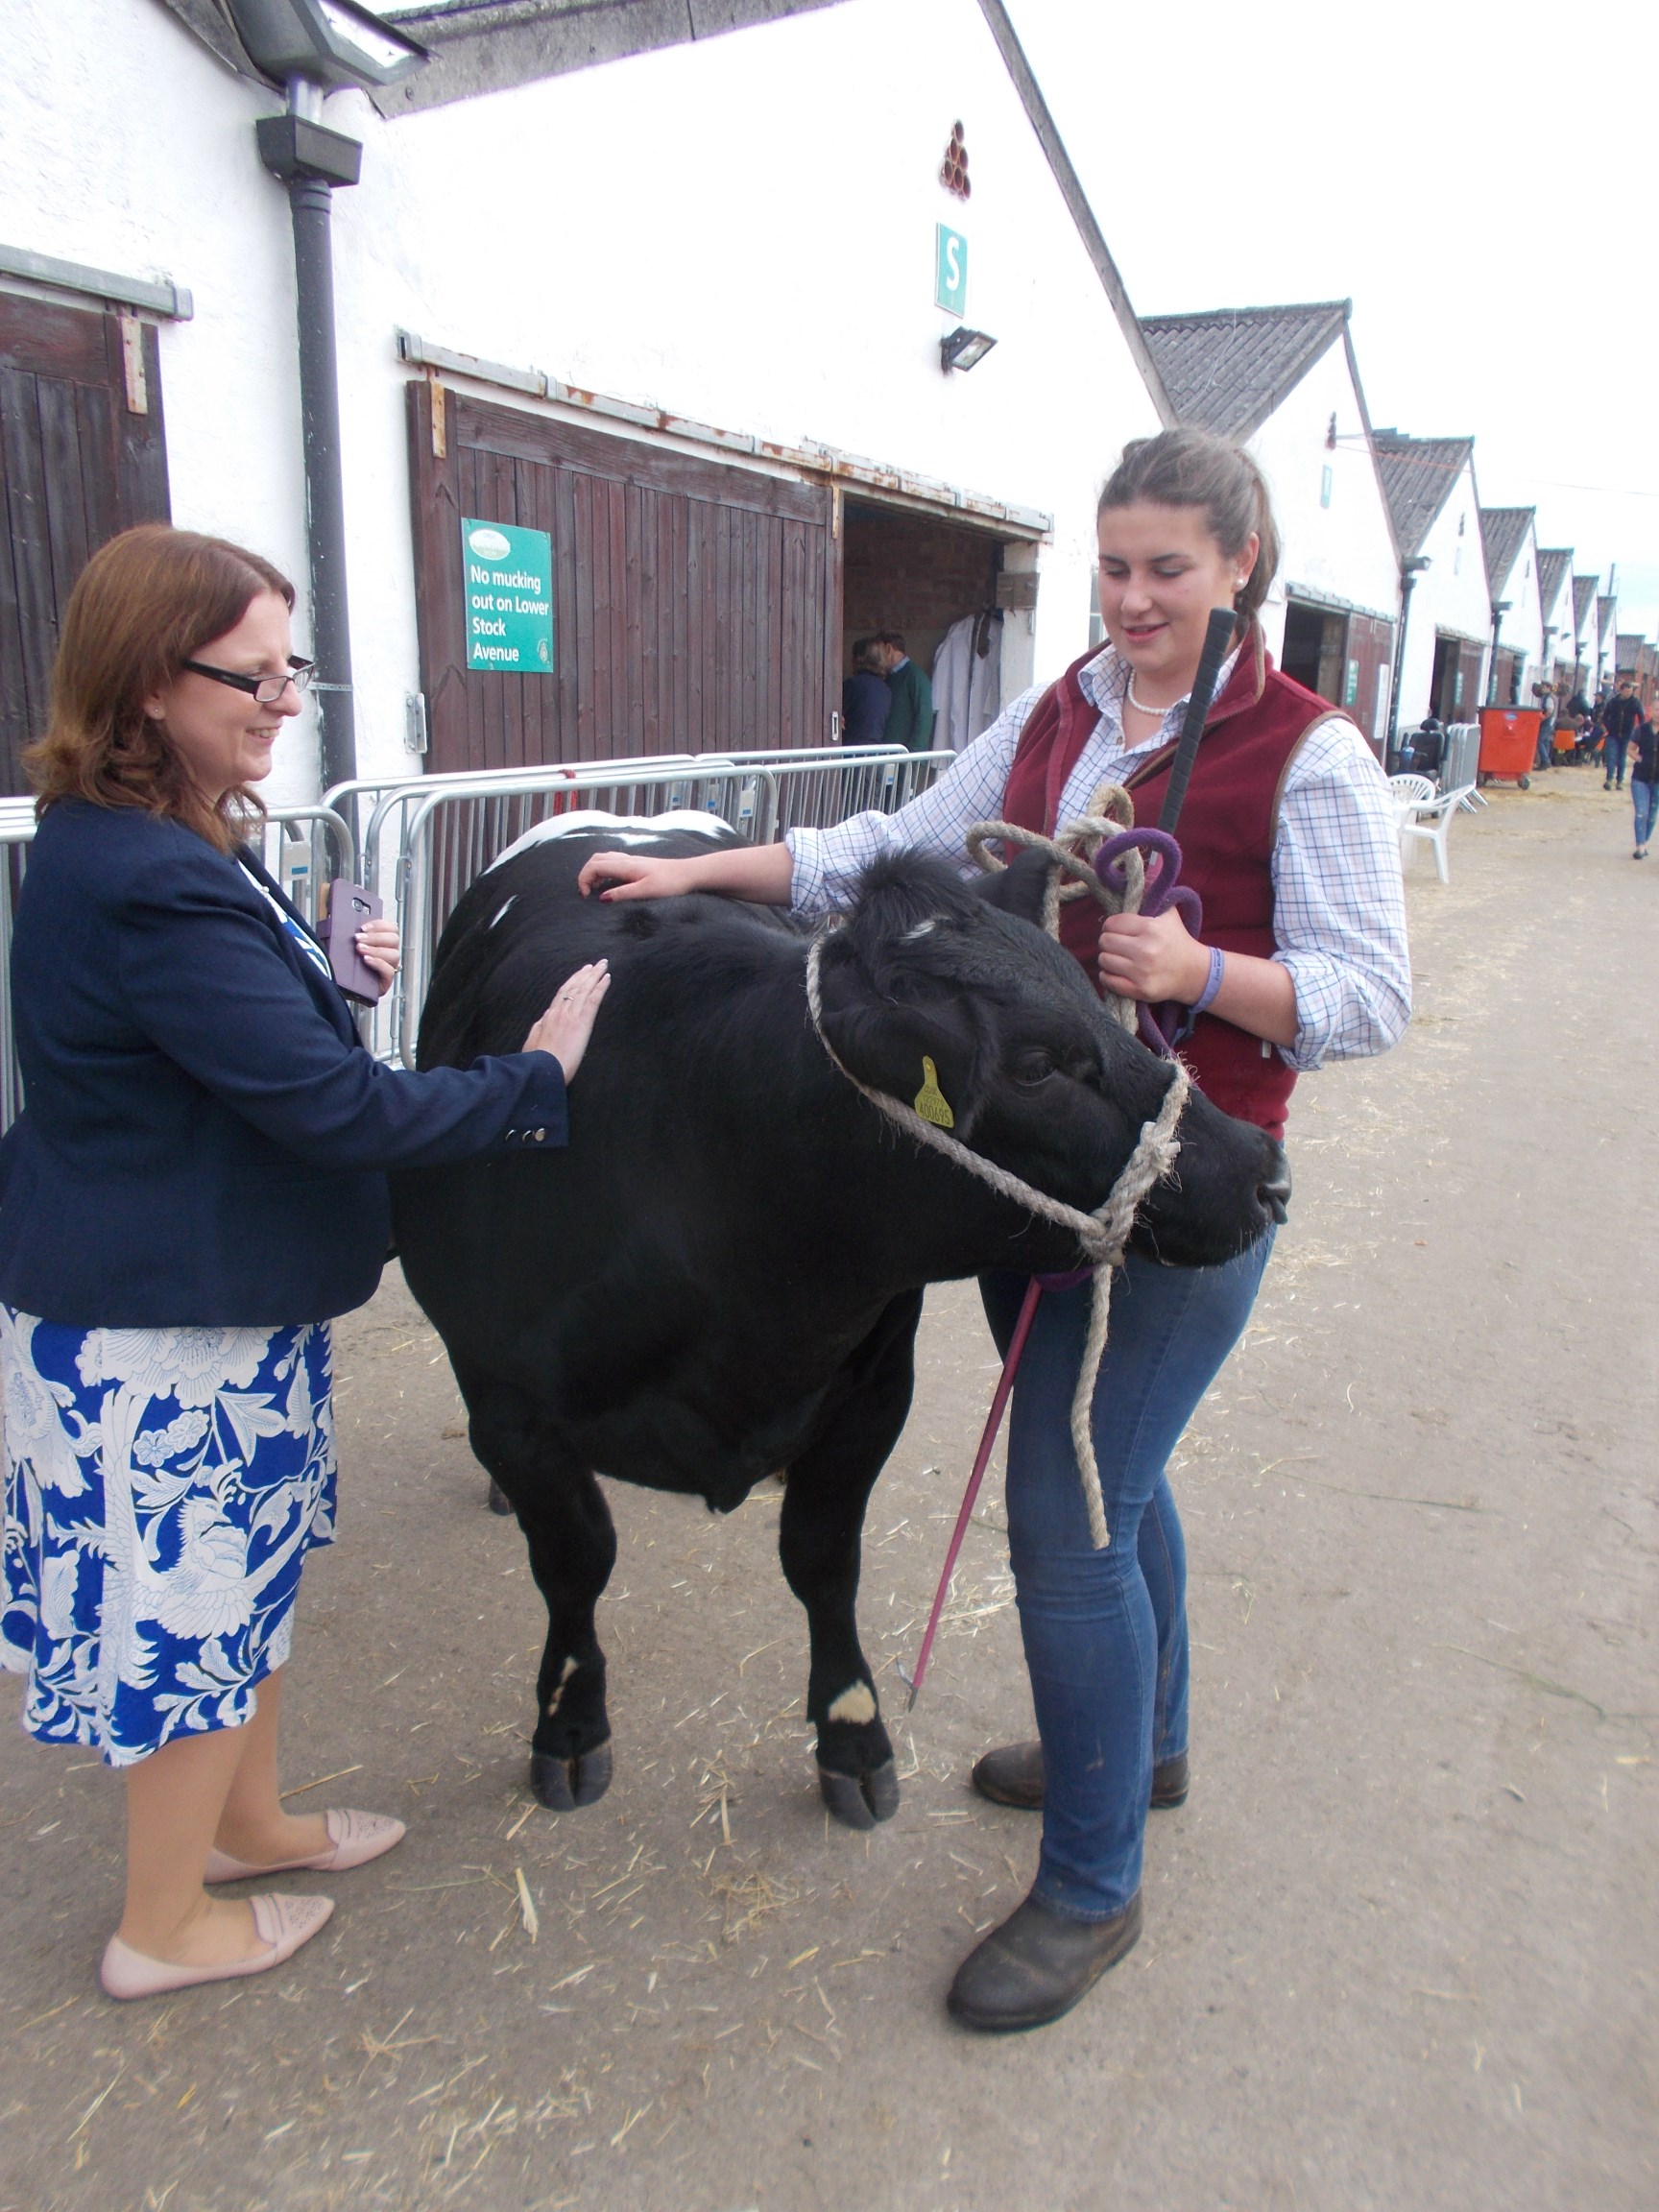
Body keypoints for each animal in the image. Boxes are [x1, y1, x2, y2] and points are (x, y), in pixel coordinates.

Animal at [396, 831, 1291, 1831]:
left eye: (1095, 996)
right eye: (1034, 1065)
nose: (1265, 1172)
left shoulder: (871, 1391)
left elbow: (823, 1560)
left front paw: (854, 1735)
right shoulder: (512, 1408)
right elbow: (575, 1561)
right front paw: (570, 1725)